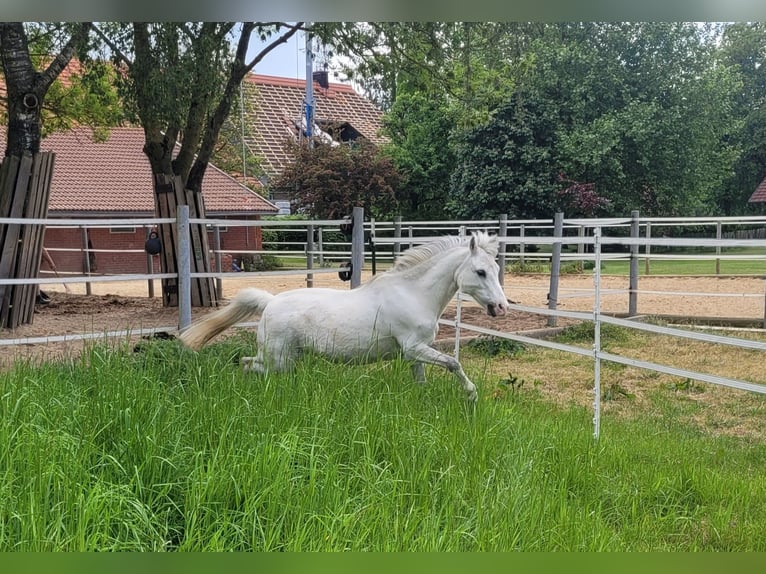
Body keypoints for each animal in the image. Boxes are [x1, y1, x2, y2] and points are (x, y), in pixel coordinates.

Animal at [178, 231, 509, 402]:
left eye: (495, 268)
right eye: (480, 271)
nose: (502, 307)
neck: (413, 294)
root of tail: (270, 302)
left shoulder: (415, 353)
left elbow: (422, 382)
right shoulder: (414, 347)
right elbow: (454, 363)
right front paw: (471, 395)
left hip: (285, 358)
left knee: (246, 363)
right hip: (279, 359)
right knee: (249, 366)